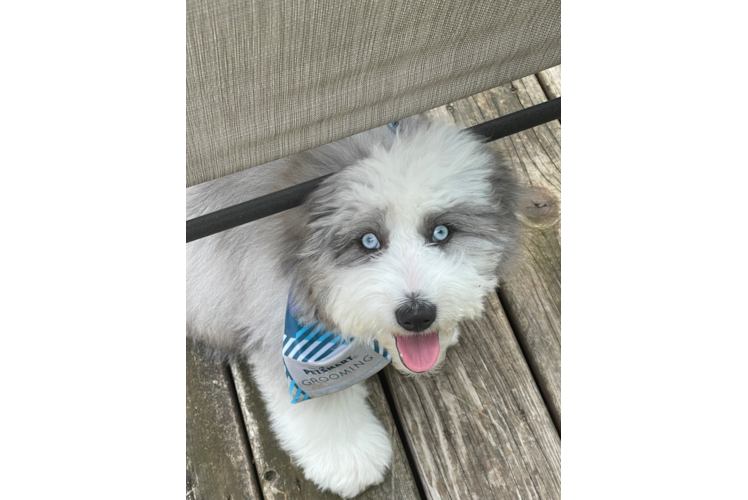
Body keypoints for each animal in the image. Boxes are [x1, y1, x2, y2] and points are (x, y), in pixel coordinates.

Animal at [186, 116, 524, 496]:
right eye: (368, 241)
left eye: (441, 232)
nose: (417, 316)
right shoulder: (278, 322)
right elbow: (322, 403)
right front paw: (347, 455)